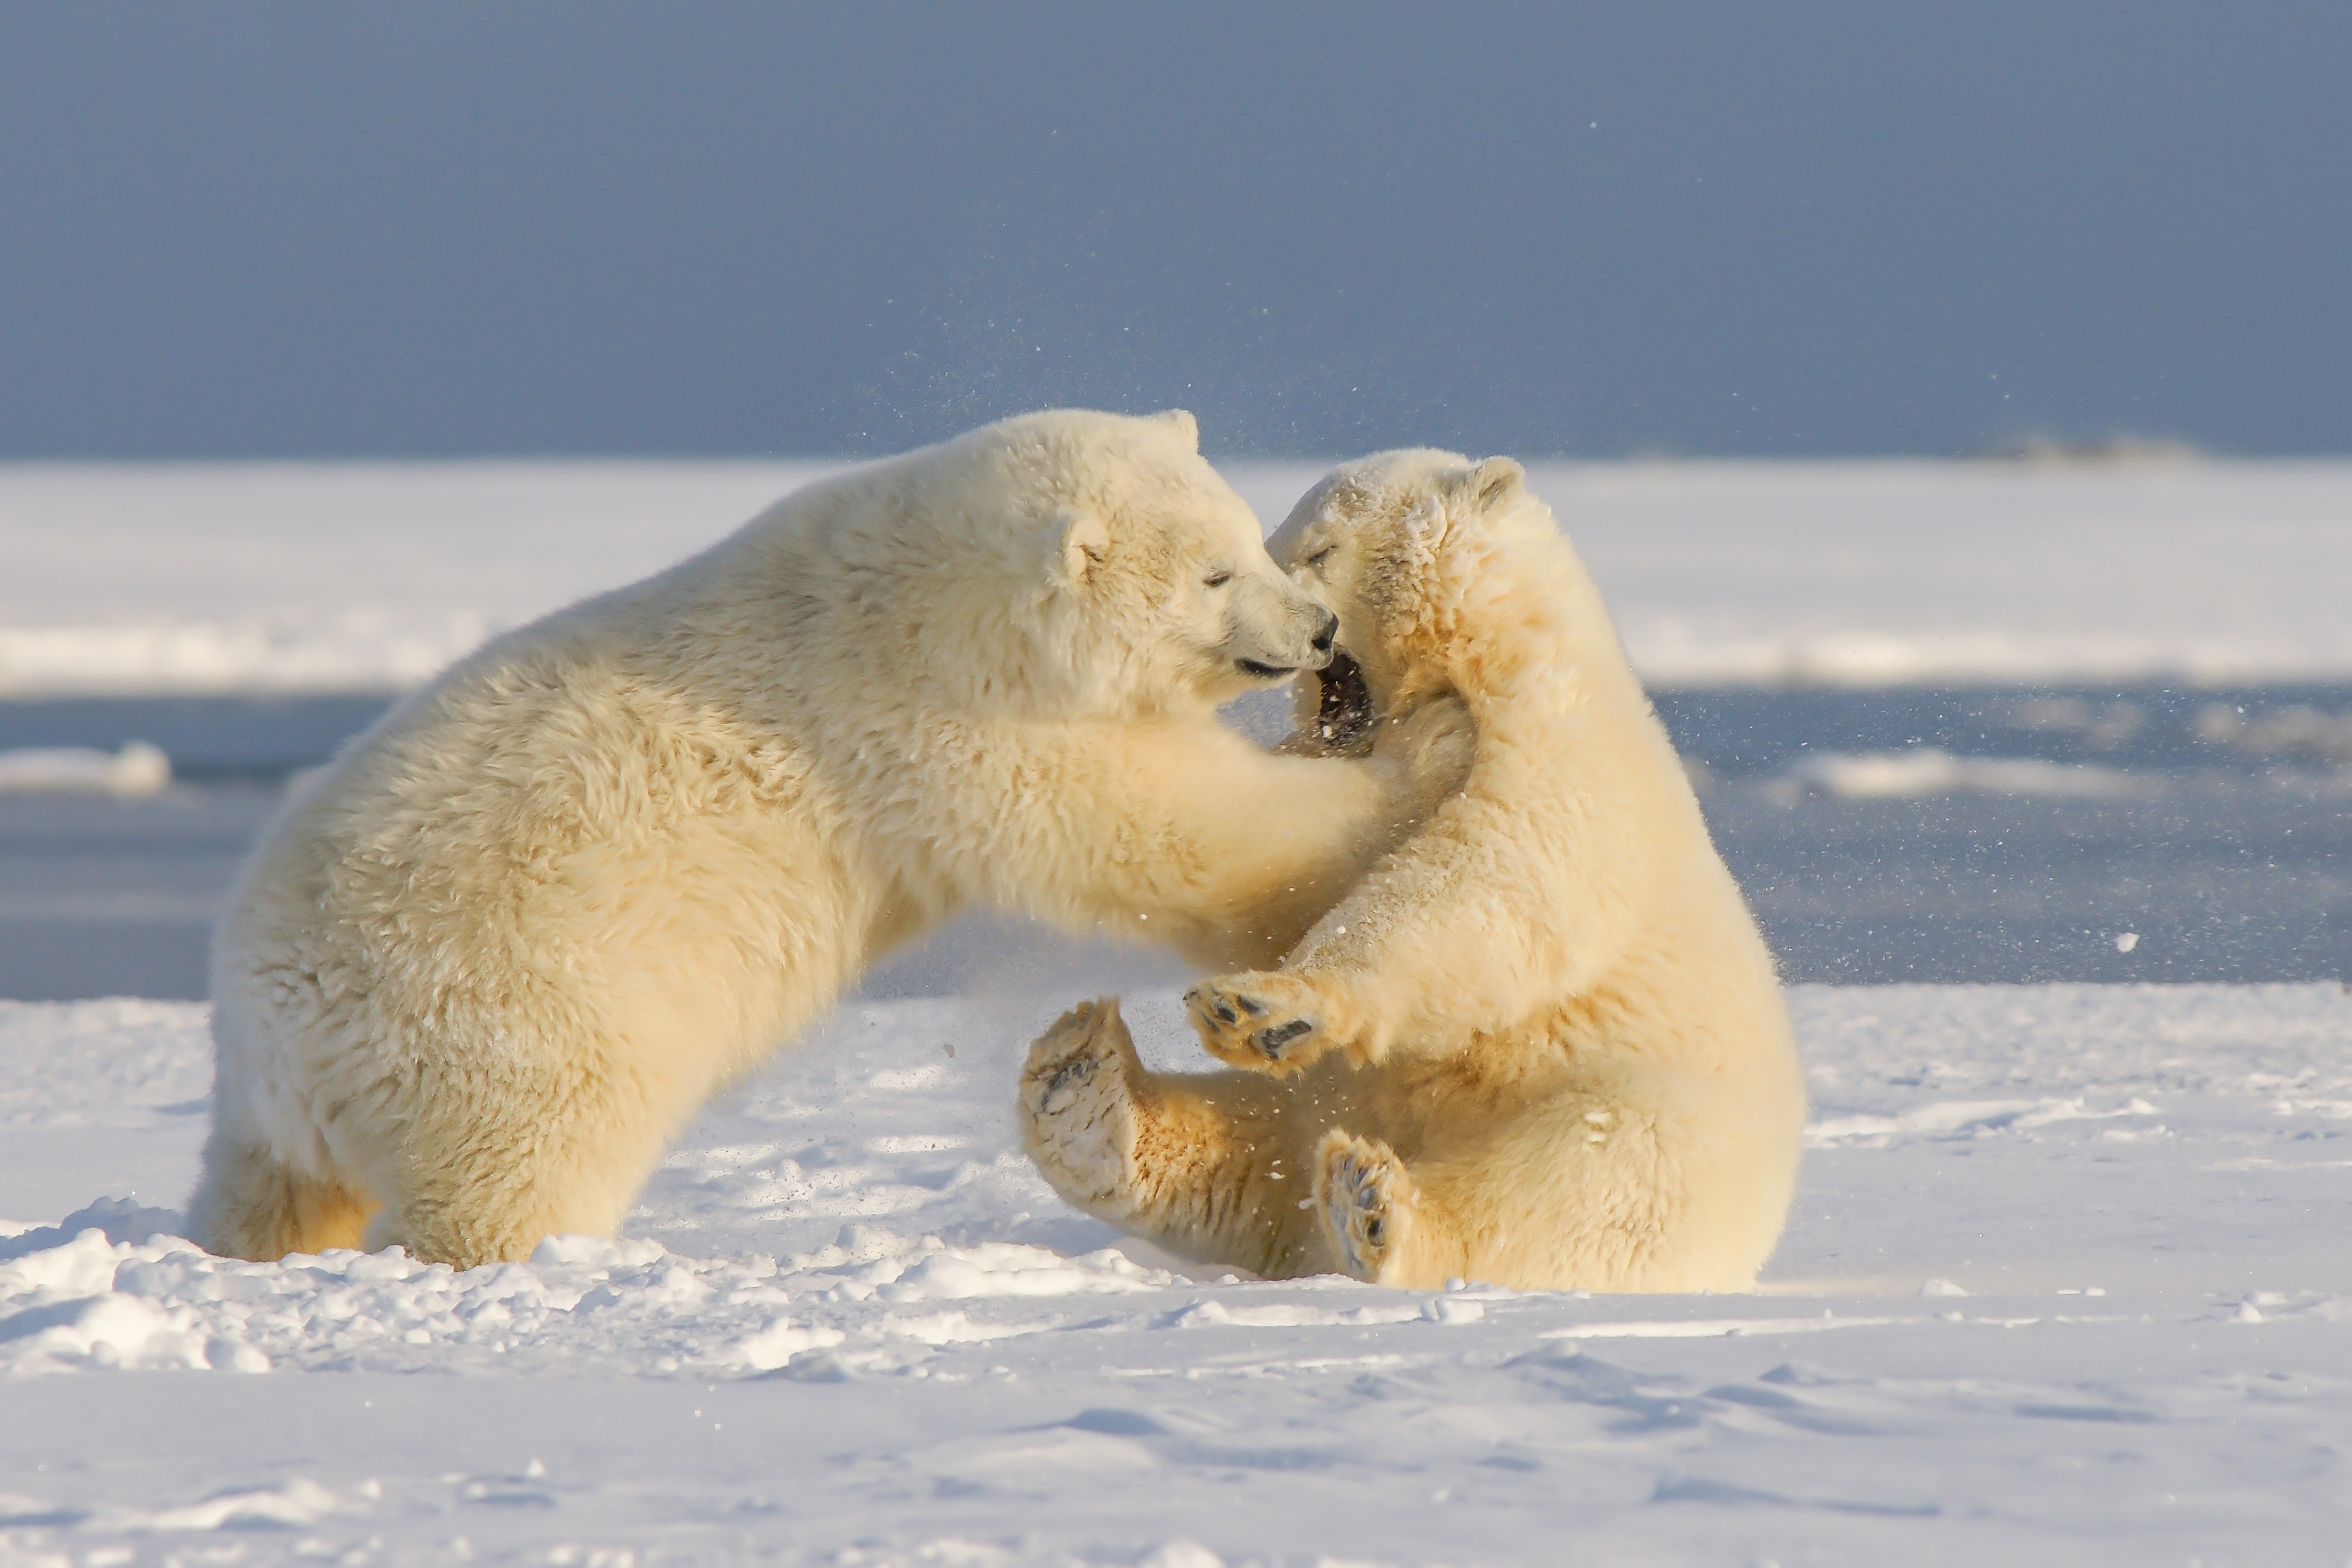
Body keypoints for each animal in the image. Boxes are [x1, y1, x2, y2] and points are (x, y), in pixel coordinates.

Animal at [188, 411, 1467, 1269]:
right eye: (1213, 572)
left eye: (1258, 539)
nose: (1320, 629)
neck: (925, 600)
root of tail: (273, 1021)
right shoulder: (941, 723)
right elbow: (1176, 828)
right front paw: (1437, 744)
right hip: (513, 1018)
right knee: (517, 1171)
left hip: (294, 1104)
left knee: (269, 1188)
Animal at [1021, 447, 1806, 1297]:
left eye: (1317, 550)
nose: (1301, 628)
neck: (1489, 656)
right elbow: (1282, 871)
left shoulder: (1562, 748)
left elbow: (1490, 879)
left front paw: (1265, 1004)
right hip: (1323, 1100)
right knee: (1253, 1151)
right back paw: (1085, 1090)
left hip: (1636, 1112)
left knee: (1578, 1186)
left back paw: (1371, 1210)